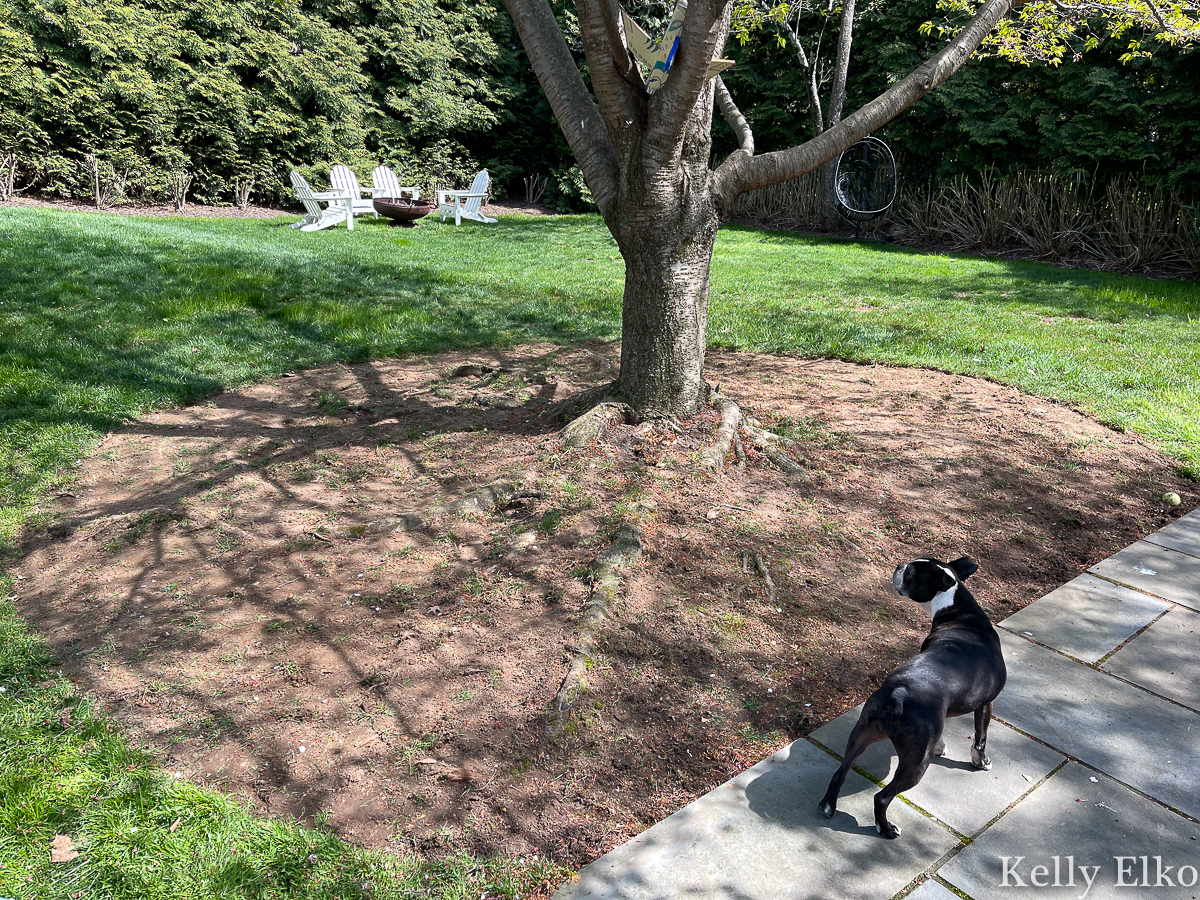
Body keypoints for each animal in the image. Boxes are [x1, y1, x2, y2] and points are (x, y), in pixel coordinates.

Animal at [816, 554, 1003, 844]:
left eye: (911, 574)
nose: (898, 566)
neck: (960, 614)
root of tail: (898, 693)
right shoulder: (986, 704)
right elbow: (981, 737)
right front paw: (980, 762)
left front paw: (942, 746)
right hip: (916, 763)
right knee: (882, 797)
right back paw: (886, 829)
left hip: (861, 735)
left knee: (840, 772)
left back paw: (828, 806)